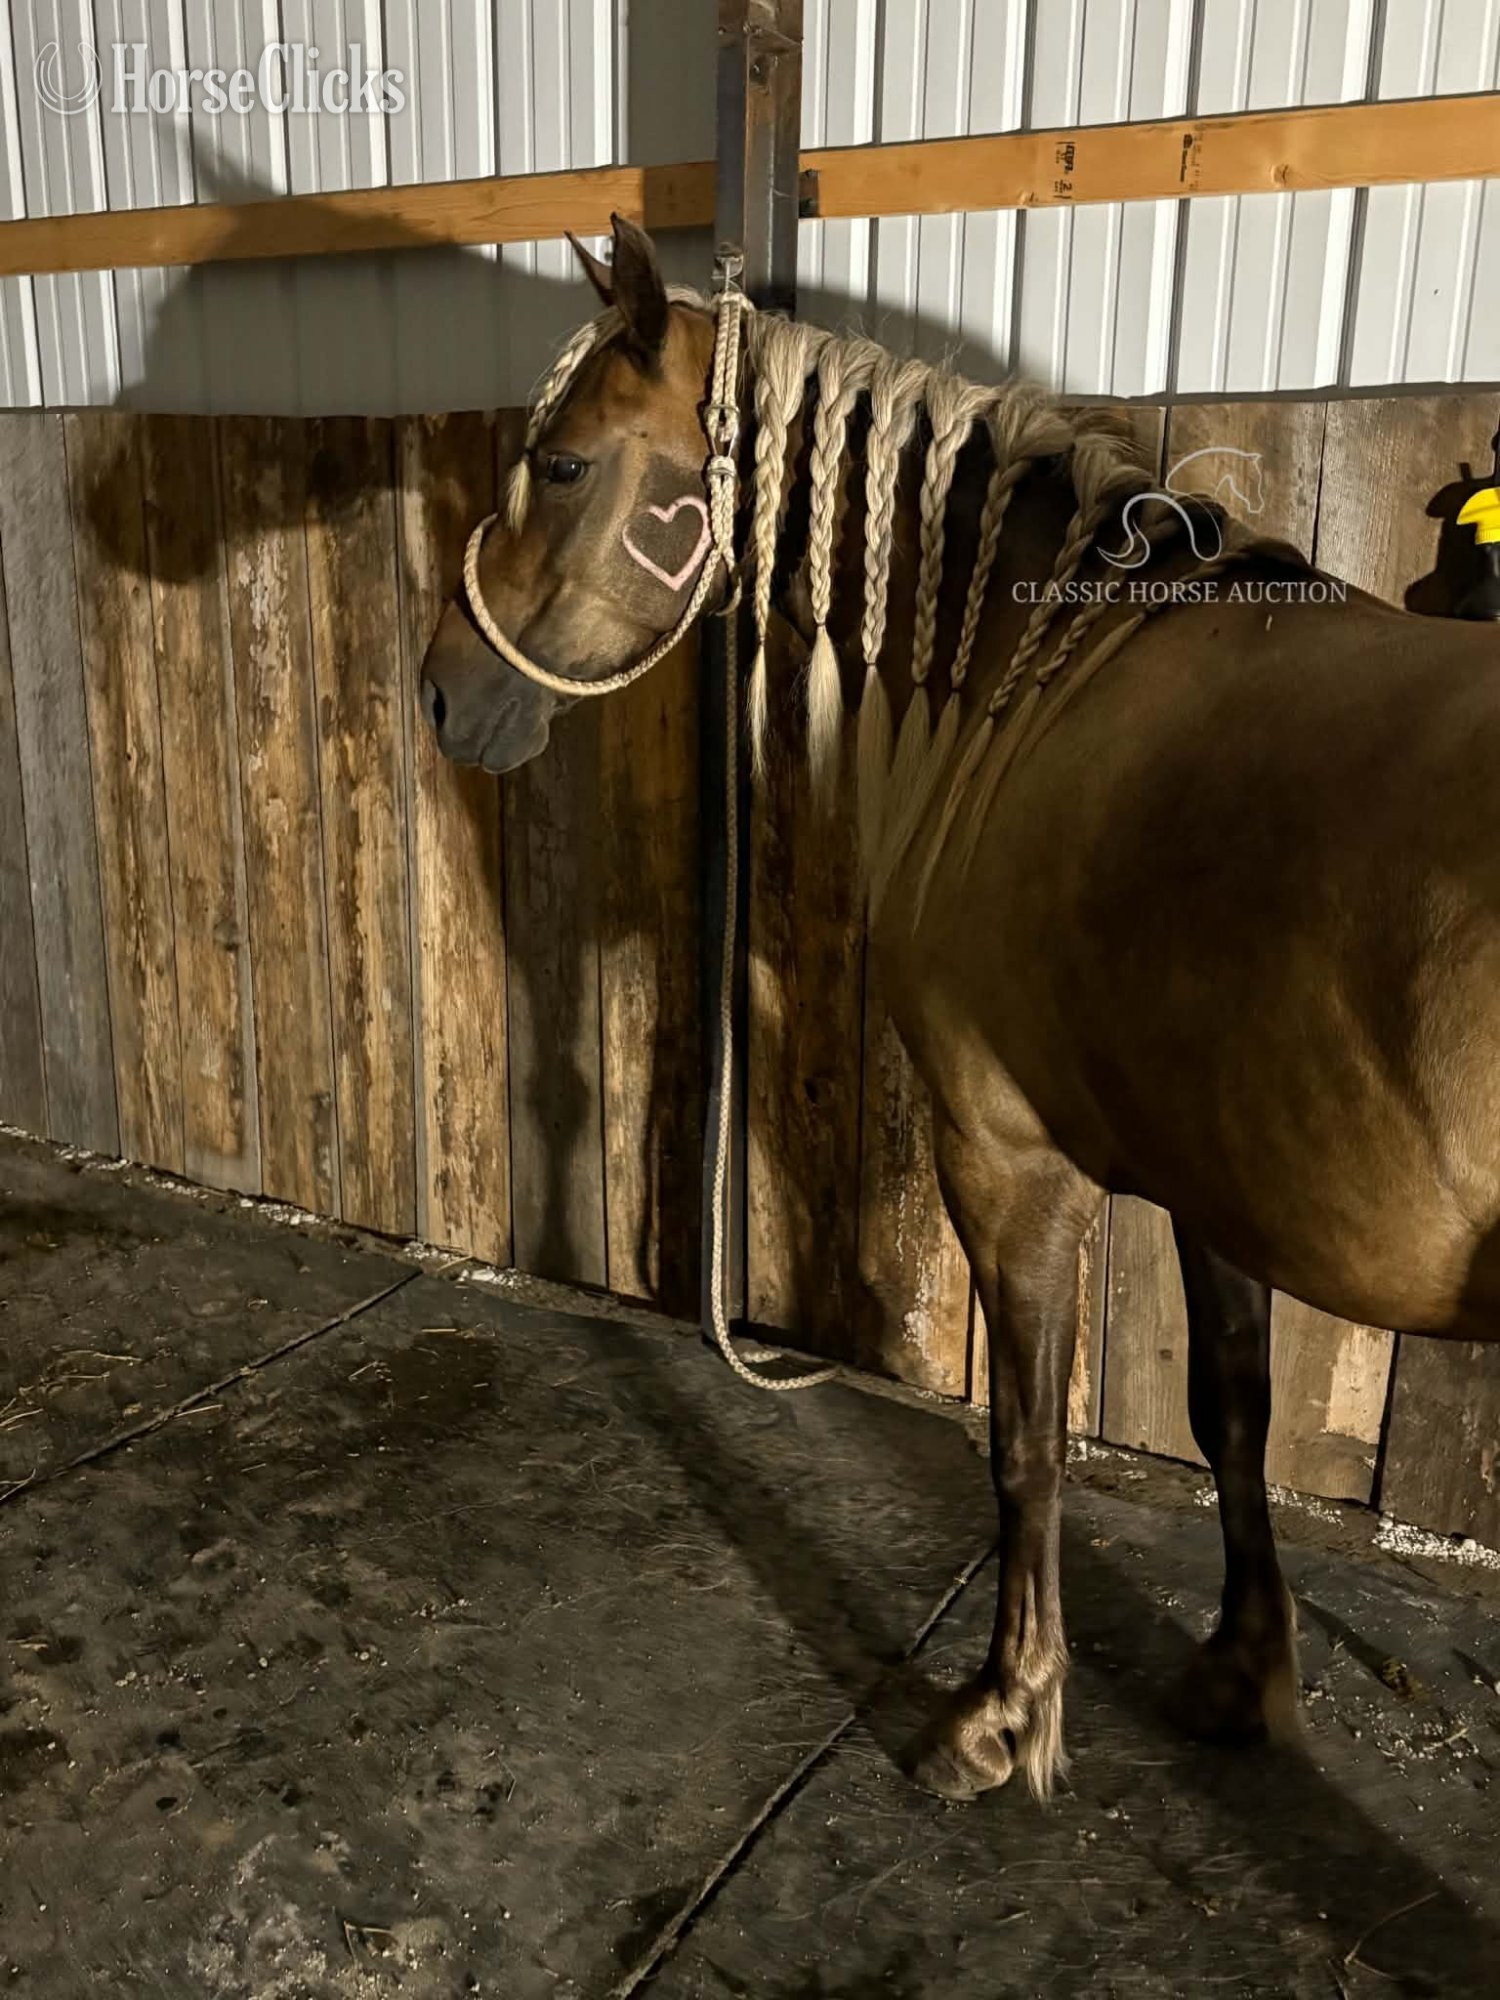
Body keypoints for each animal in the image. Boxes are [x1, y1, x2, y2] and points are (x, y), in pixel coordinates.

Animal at [420, 214, 1500, 1806]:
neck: (1045, 682)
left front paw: (1003, 1710)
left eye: (561, 464)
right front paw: (1240, 1672)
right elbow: (1229, 1414)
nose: (445, 693)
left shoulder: (1008, 1163)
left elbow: (1026, 1445)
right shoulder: (1214, 1185)